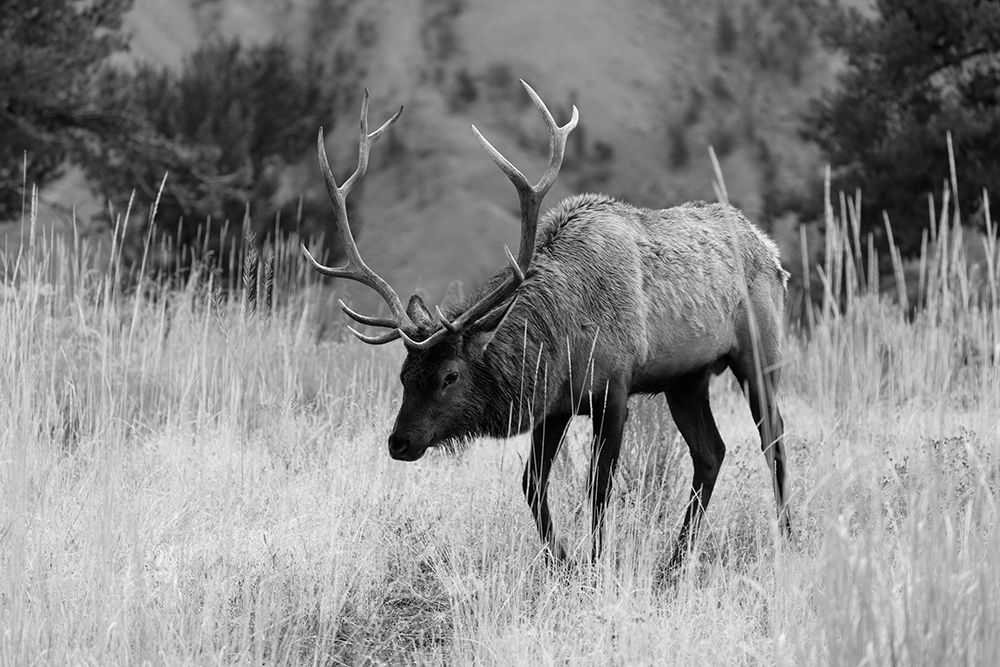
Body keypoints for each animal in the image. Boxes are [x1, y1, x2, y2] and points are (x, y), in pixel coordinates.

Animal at [301, 83, 792, 567]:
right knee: (711, 452)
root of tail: (772, 252)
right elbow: (532, 484)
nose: (399, 442)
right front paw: (562, 563)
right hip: (686, 379)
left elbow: (599, 487)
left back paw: (788, 538)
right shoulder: (555, 404)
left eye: (450, 376)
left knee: (774, 436)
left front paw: (595, 566)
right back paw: (672, 562)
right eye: (404, 375)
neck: (561, 337)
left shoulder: (614, 389)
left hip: (759, 354)